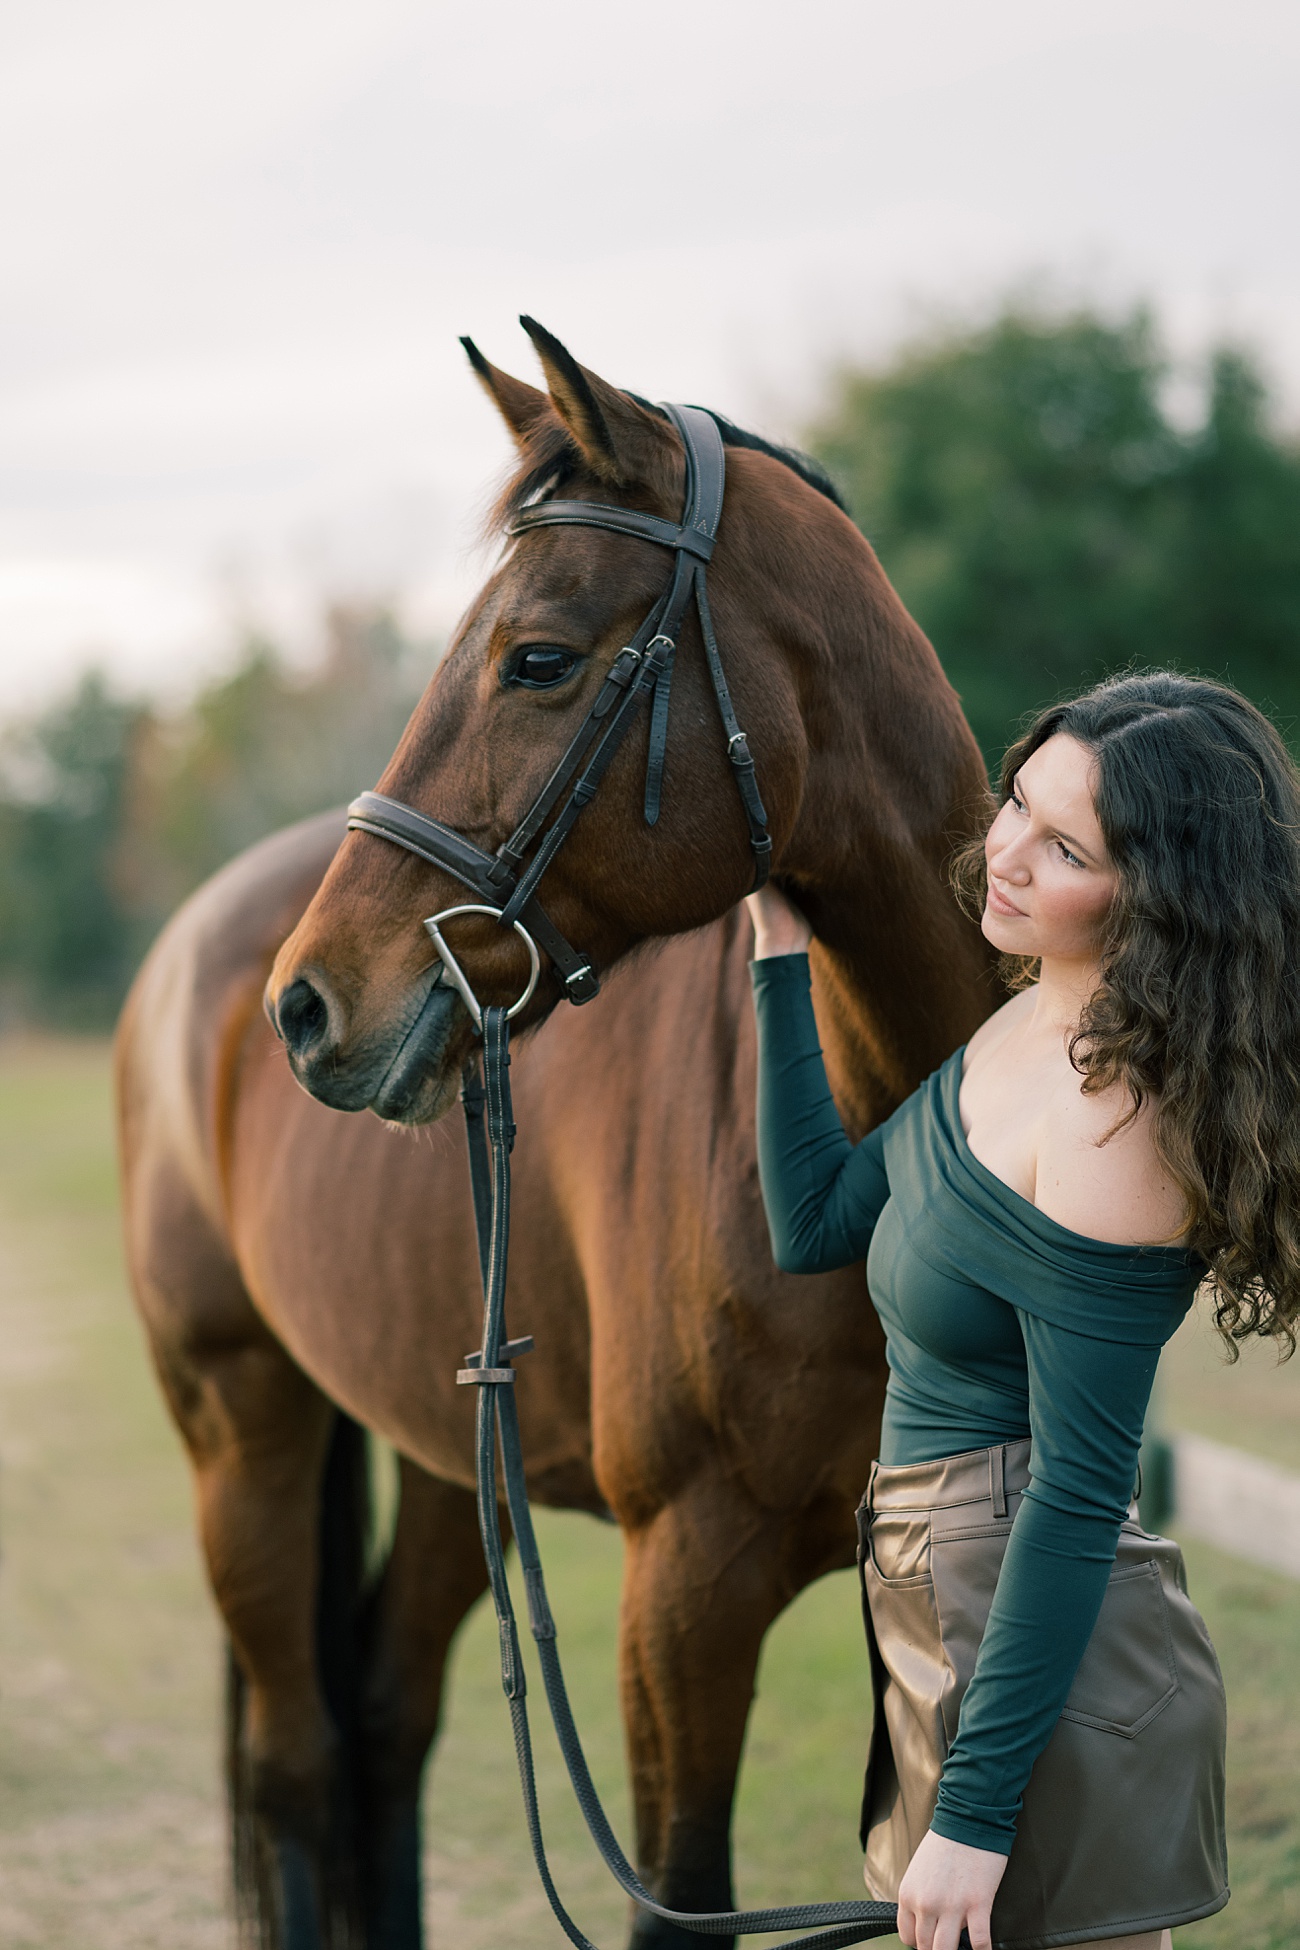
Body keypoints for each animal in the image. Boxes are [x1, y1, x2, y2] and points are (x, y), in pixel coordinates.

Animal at [114, 323, 997, 1950]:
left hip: (452, 1454)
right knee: (295, 1760)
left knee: (382, 1722)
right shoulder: (686, 1591)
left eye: (535, 657)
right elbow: (679, 1897)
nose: (309, 1007)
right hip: (242, 1434)